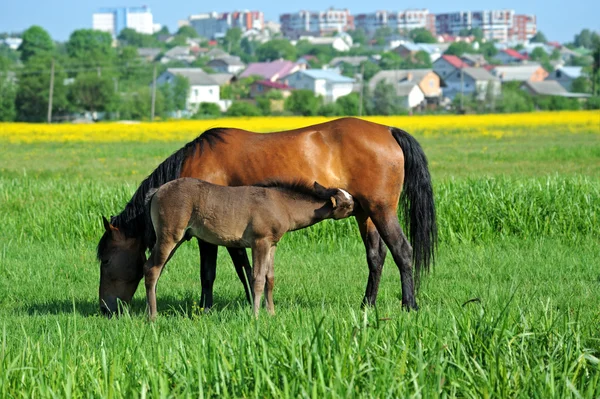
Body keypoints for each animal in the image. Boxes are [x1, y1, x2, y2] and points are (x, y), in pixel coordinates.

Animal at [138, 180, 354, 320]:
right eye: (349, 204)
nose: (359, 205)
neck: (282, 204)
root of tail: (157, 190)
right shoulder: (260, 242)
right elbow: (257, 279)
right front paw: (256, 316)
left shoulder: (272, 245)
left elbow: (270, 278)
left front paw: (271, 313)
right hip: (170, 236)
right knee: (152, 269)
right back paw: (153, 317)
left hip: (178, 238)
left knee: (153, 269)